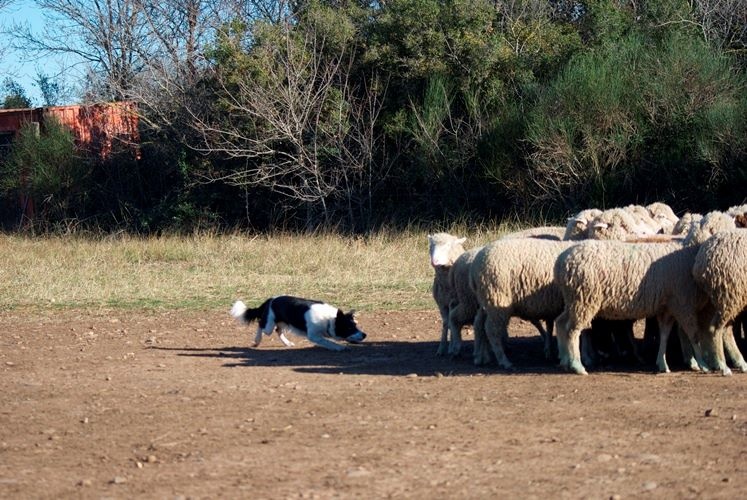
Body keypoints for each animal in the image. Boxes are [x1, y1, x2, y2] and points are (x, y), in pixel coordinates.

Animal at [229, 292, 366, 352]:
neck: (328, 319)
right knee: (261, 326)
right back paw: (257, 341)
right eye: (349, 328)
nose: (365, 335)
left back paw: (287, 343)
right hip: (269, 326)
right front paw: (339, 347)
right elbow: (327, 341)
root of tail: (270, 300)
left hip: (281, 323)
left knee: (278, 331)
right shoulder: (313, 335)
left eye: (356, 325)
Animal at [468, 238, 580, 368]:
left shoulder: (552, 305)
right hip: (497, 299)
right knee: (491, 330)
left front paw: (549, 351)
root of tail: (474, 266)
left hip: (485, 301)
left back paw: (480, 357)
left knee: (478, 325)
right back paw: (503, 361)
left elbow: (550, 327)